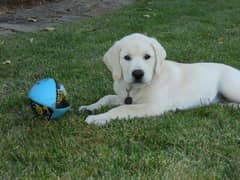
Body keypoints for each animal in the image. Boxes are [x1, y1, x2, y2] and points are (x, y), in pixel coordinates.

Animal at [79, 33, 240, 124]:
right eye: (126, 58)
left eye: (147, 57)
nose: (138, 73)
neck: (136, 88)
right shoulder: (124, 96)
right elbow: (106, 98)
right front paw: (89, 107)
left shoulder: (154, 106)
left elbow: (122, 109)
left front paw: (98, 118)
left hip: (228, 86)